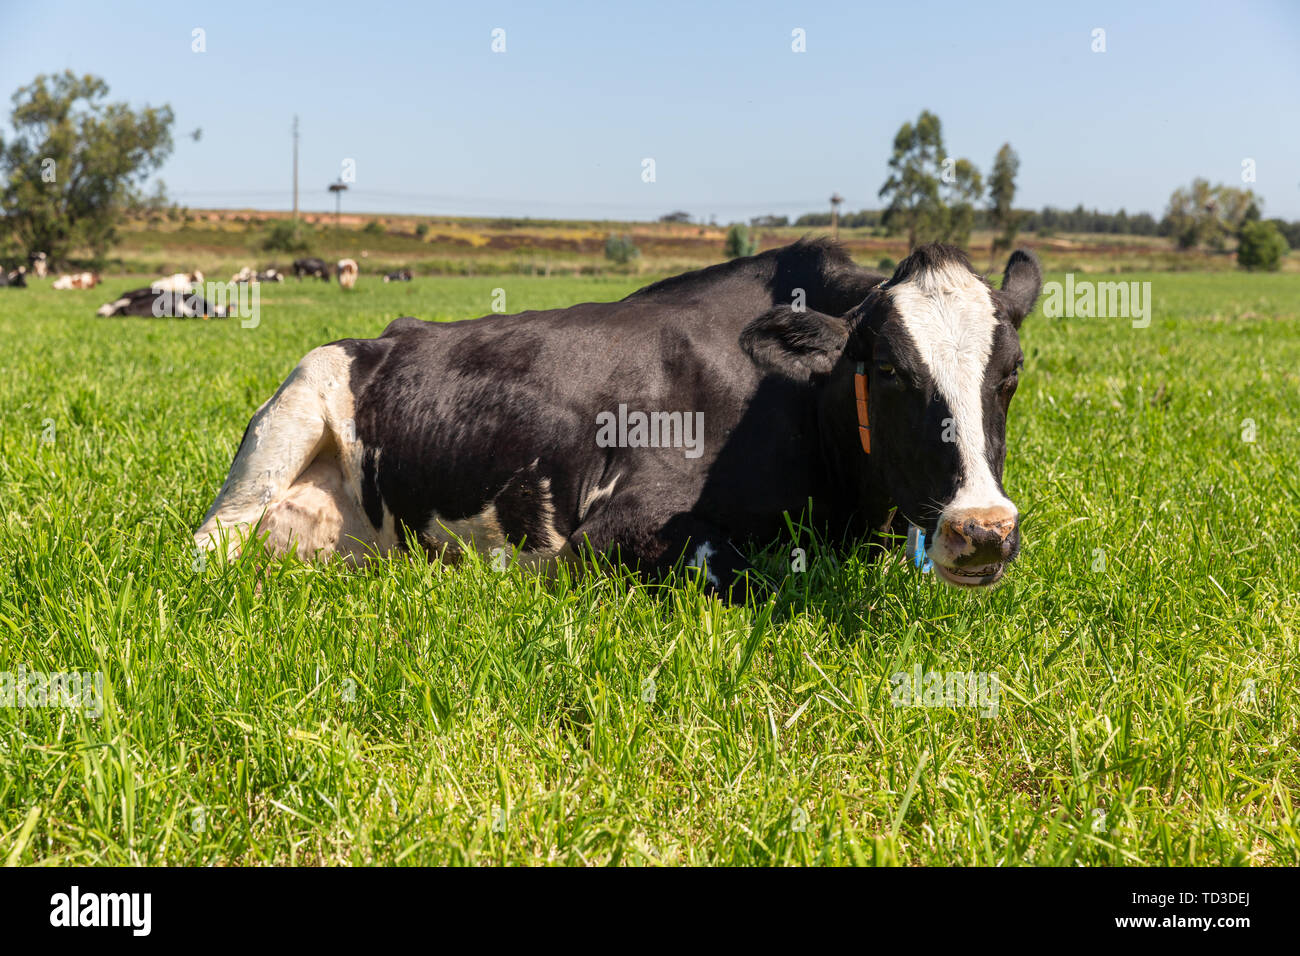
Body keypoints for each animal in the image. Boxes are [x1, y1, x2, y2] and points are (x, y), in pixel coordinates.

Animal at [193, 240, 1041, 598]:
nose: (983, 528)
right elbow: (745, 571)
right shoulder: (613, 527)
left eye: (1012, 374)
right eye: (891, 370)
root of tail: (391, 331)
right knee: (209, 545)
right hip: (290, 414)